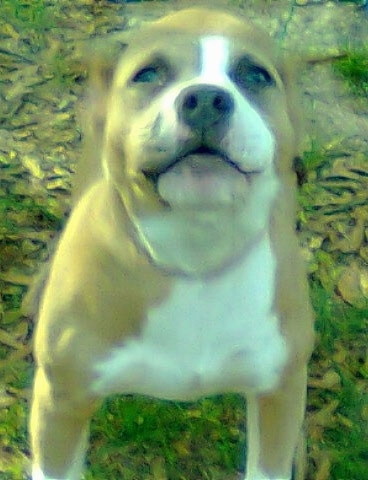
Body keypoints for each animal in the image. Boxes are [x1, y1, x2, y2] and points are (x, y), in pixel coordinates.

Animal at [30, 7, 314, 480]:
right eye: (147, 74)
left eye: (255, 75)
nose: (206, 99)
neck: (194, 256)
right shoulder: (60, 405)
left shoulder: (280, 393)